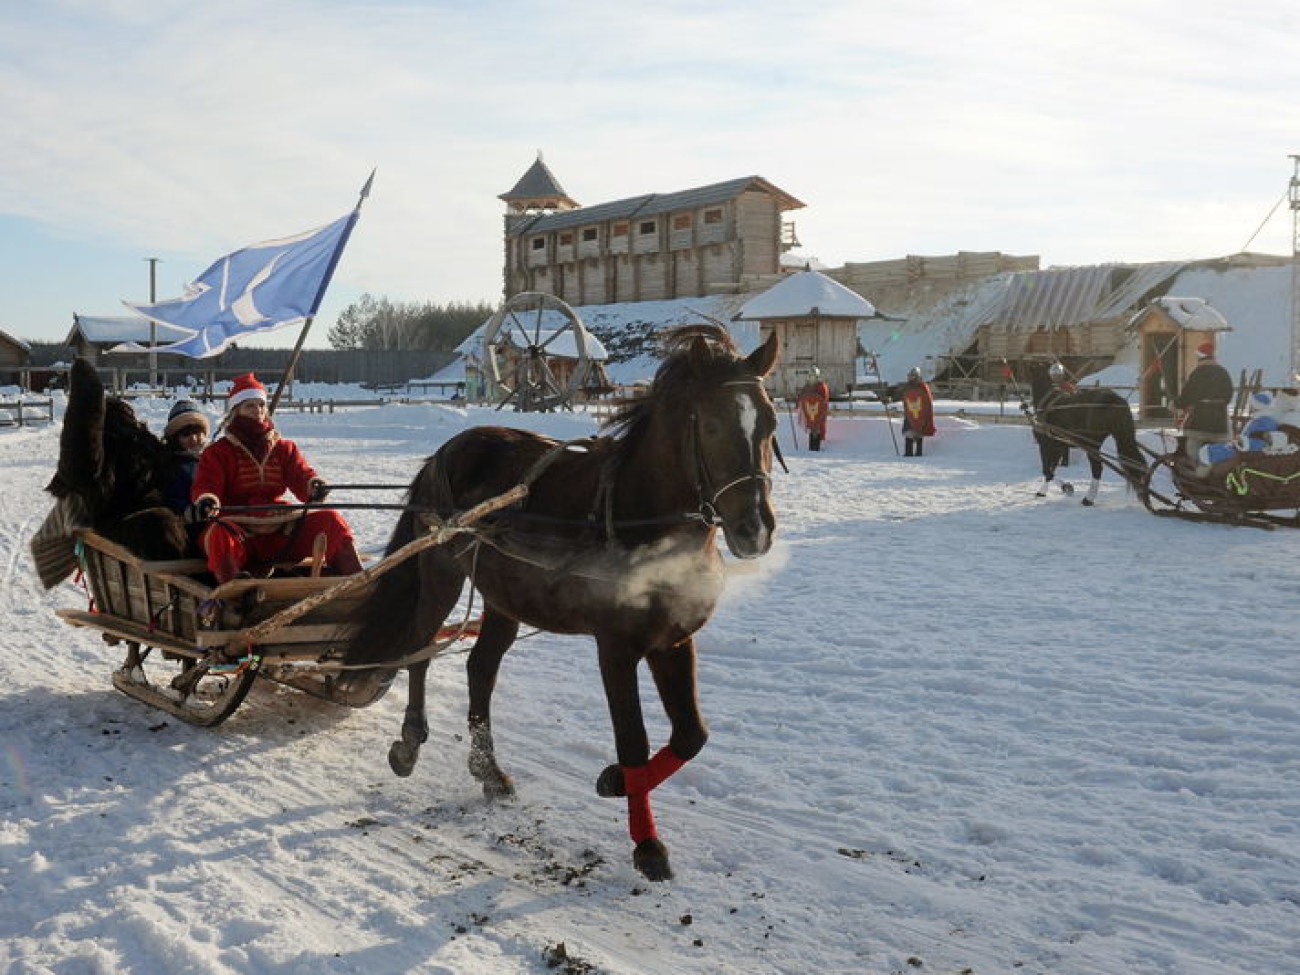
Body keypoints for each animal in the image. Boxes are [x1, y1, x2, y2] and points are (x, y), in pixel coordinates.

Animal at [340, 328, 774, 883]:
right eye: (713, 425)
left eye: (770, 423)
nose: (754, 529)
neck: (639, 516)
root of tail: (450, 449)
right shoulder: (616, 648)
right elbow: (633, 740)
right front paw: (646, 841)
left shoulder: (673, 639)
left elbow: (690, 736)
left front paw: (616, 781)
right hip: (441, 573)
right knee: (420, 649)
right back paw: (411, 740)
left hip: (504, 596)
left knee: (481, 668)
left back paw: (488, 770)